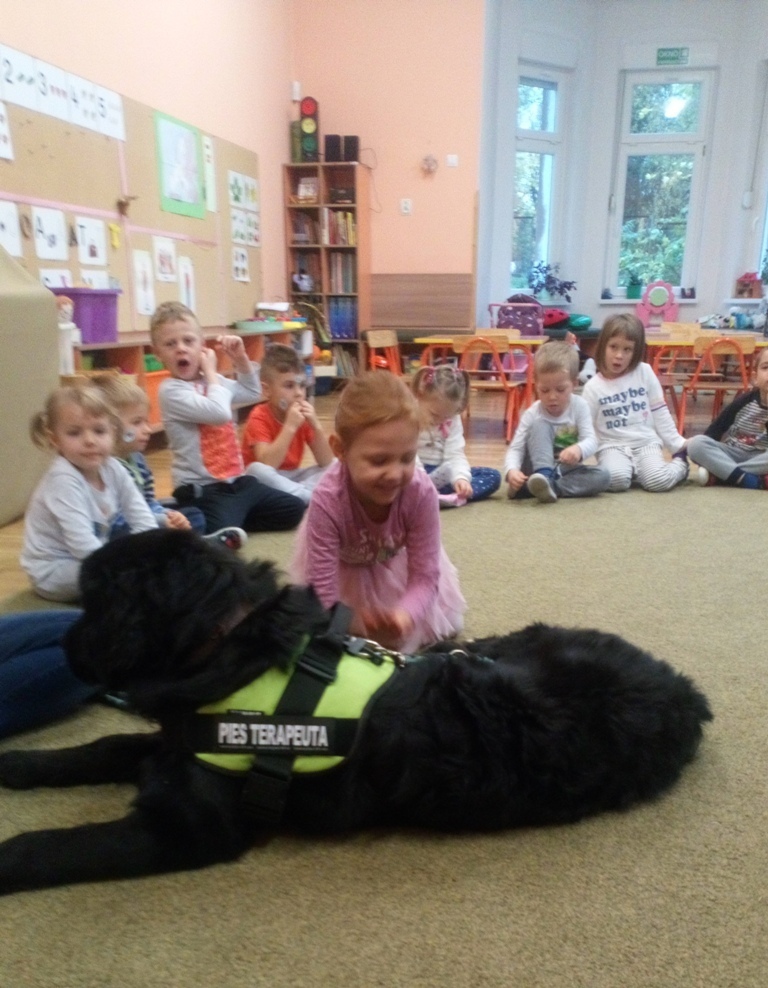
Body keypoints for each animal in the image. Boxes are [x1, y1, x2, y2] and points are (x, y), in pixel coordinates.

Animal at [0, 529, 712, 895]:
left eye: (93, 602)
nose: (63, 647)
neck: (232, 641)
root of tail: (683, 690)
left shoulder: (191, 825)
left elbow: (55, 846)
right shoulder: (183, 742)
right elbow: (104, 748)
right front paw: (19, 763)